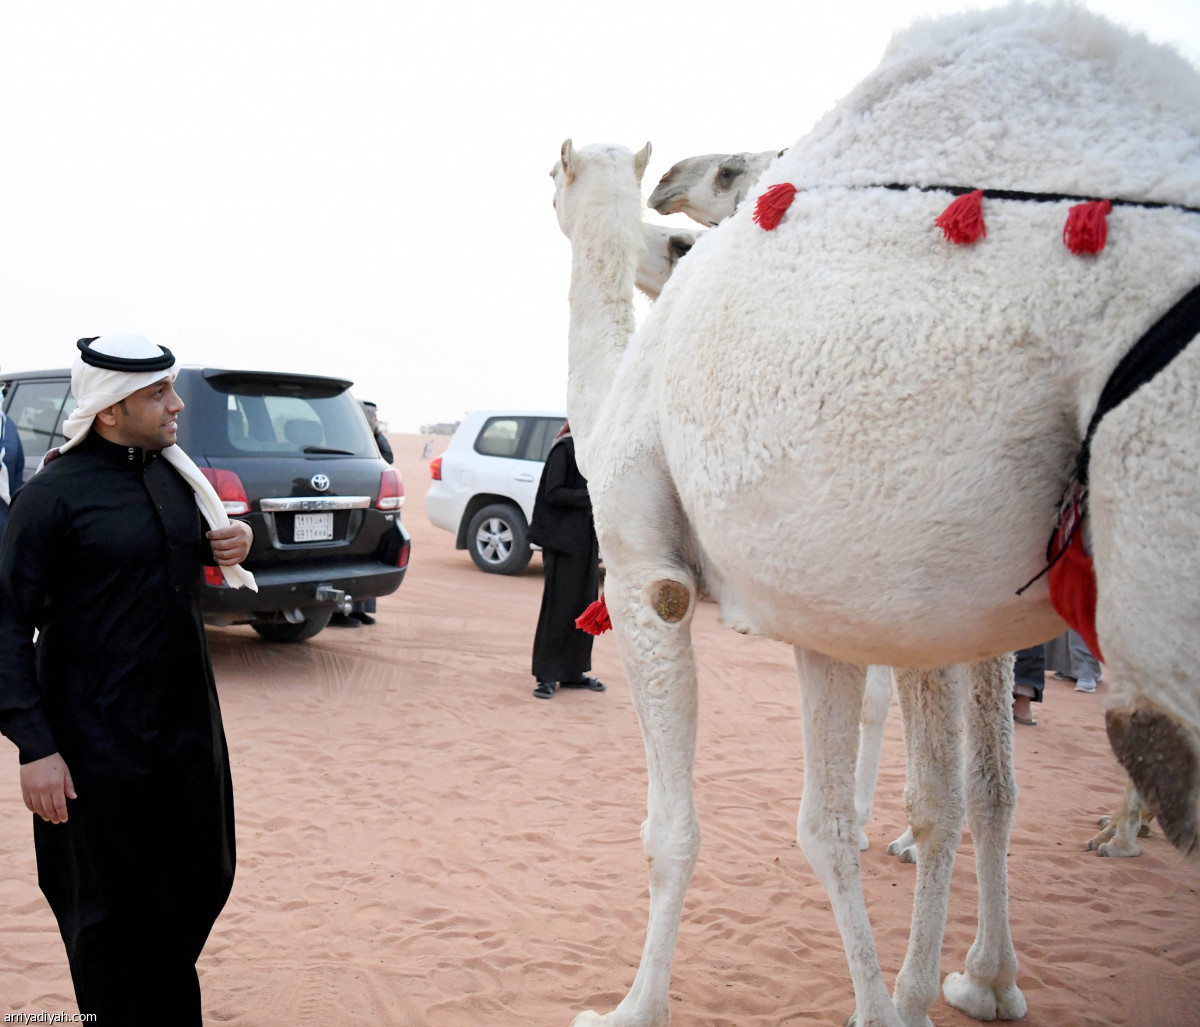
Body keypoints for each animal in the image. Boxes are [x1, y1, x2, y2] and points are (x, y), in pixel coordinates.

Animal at [552, 4, 1200, 1022]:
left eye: (725, 186)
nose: (666, 185)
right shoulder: (839, 612)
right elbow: (871, 812)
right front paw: (959, 980)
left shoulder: (644, 572)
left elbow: (676, 827)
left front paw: (633, 1006)